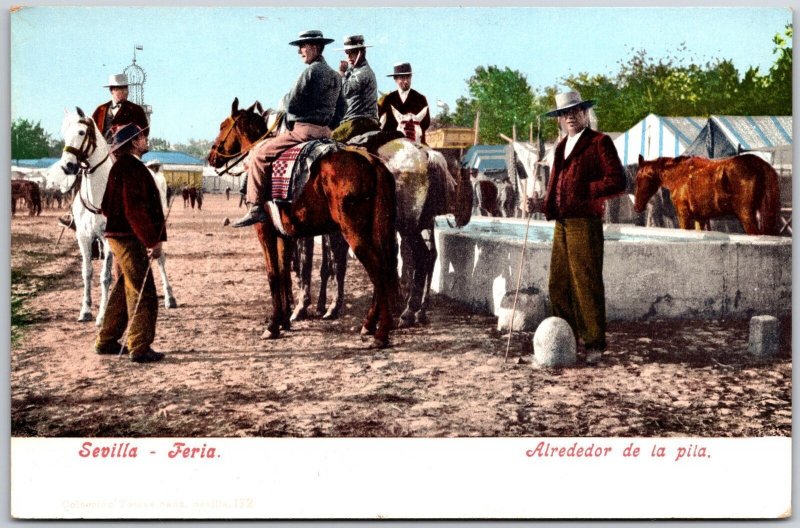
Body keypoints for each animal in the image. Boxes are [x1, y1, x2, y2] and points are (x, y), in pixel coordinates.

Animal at [57, 108, 178, 326]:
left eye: (81, 132)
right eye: (64, 133)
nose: (67, 166)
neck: (98, 193)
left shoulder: (108, 239)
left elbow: (105, 276)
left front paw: (102, 315)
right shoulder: (84, 238)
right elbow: (87, 273)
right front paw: (85, 311)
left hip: (155, 229)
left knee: (160, 258)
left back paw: (169, 297)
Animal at [206, 97, 400, 348]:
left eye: (223, 126)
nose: (211, 157)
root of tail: (371, 162)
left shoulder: (265, 231)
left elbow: (273, 275)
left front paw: (273, 326)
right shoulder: (285, 236)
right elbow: (284, 274)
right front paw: (284, 321)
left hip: (354, 232)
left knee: (379, 271)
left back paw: (380, 333)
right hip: (375, 229)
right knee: (384, 268)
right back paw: (369, 324)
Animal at [636, 153, 780, 235]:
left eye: (639, 178)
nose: (637, 207)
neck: (680, 174)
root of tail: (761, 164)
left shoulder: (684, 215)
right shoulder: (700, 218)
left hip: (746, 215)